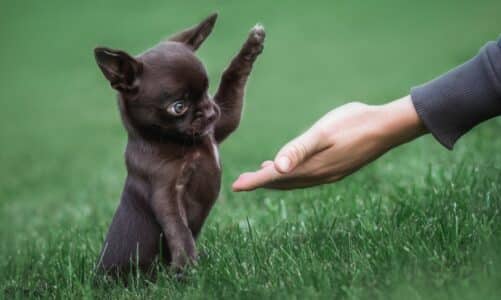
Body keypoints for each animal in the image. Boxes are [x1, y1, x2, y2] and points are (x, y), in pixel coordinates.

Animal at [94, 14, 266, 276]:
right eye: (178, 107)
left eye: (206, 90)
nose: (209, 111)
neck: (178, 142)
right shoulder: (165, 191)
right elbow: (178, 228)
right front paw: (186, 264)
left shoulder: (221, 121)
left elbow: (232, 79)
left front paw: (252, 44)